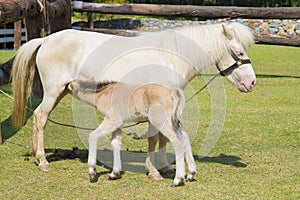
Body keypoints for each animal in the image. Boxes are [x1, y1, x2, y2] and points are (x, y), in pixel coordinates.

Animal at [67, 80, 196, 188]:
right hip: (172, 122)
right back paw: (191, 173)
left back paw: (177, 180)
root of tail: (172, 91)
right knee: (184, 137)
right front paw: (114, 174)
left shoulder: (112, 120)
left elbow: (92, 136)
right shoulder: (118, 125)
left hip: (160, 121)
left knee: (177, 142)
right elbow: (115, 143)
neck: (103, 93)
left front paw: (92, 173)